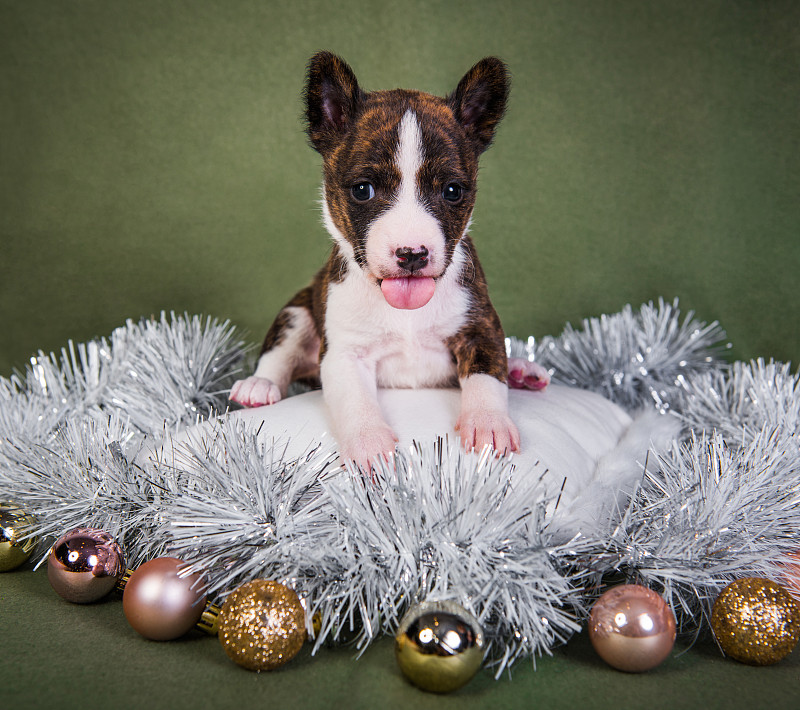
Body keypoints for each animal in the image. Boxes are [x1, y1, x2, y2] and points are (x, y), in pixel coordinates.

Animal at [228, 51, 548, 472]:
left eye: (452, 191)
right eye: (363, 190)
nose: (412, 254)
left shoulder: (481, 329)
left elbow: (486, 377)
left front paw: (488, 422)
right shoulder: (344, 354)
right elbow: (356, 402)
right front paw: (368, 443)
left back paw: (522, 370)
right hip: (296, 313)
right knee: (279, 354)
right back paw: (258, 385)